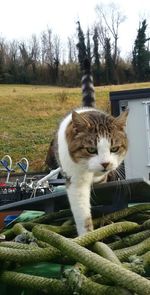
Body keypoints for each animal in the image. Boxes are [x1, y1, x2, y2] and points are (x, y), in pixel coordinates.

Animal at [55, 59, 128, 236]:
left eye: (114, 148)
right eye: (91, 150)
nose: (105, 164)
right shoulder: (75, 182)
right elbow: (82, 214)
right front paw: (87, 236)